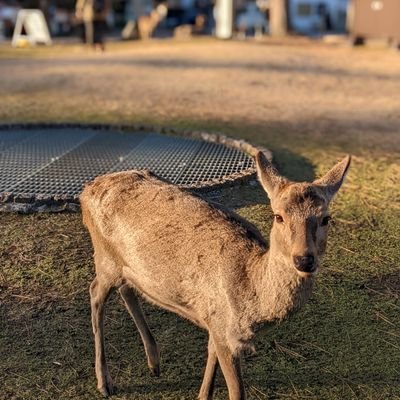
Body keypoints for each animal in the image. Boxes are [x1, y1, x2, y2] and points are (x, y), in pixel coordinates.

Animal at [80, 152, 350, 398]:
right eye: (278, 216)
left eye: (326, 218)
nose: (304, 260)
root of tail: (87, 190)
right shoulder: (224, 331)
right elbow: (237, 392)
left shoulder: (216, 321)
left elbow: (210, 360)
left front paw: (201, 394)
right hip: (104, 257)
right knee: (95, 293)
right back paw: (105, 383)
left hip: (125, 265)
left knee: (126, 288)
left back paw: (154, 363)